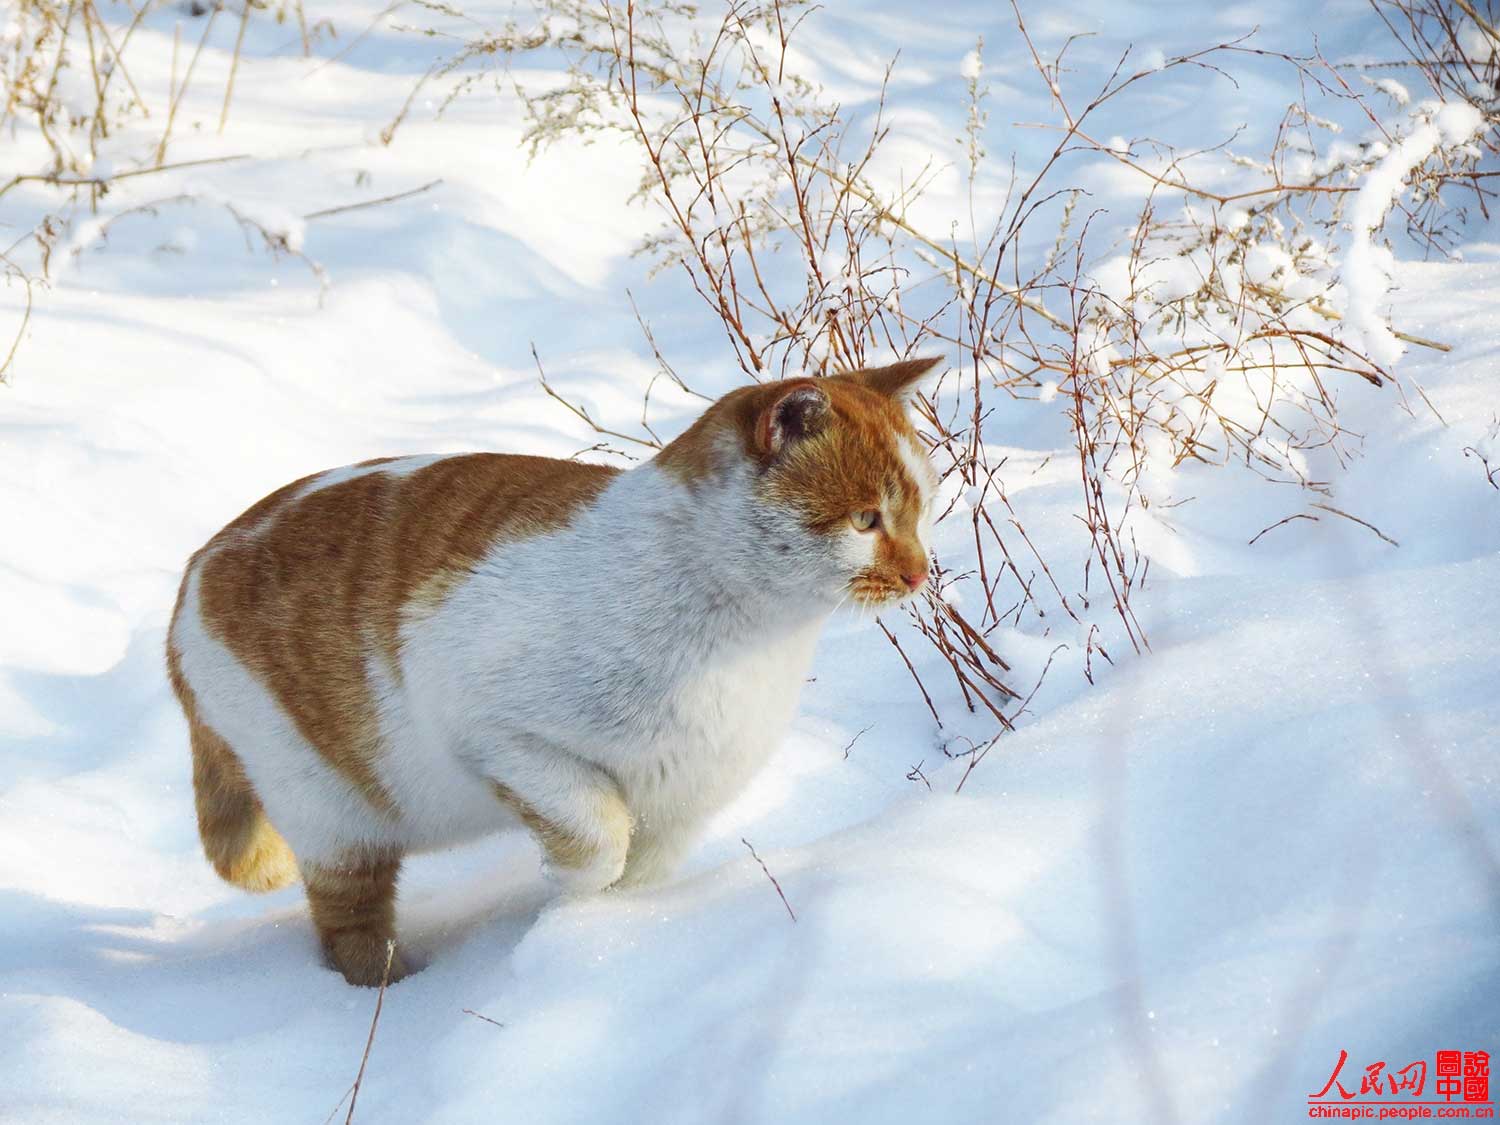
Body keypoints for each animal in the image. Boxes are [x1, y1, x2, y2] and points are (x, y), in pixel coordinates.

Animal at [164, 357, 936, 984]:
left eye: (920, 513)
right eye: (865, 519)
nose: (920, 572)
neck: (747, 639)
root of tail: (195, 571)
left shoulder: (680, 804)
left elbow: (637, 879)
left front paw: (597, 934)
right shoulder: (502, 739)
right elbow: (598, 841)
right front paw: (567, 913)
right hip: (330, 810)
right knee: (348, 922)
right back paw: (391, 990)